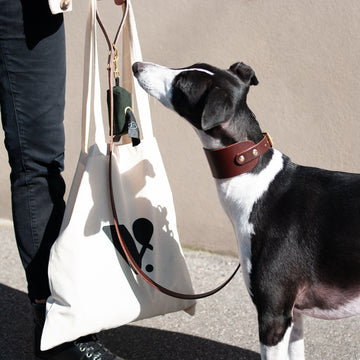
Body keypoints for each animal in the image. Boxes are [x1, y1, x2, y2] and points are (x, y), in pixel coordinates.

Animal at [133, 60, 360, 358]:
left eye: (182, 84)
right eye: (191, 65)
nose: (137, 66)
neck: (257, 183)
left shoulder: (274, 315)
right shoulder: (294, 314)